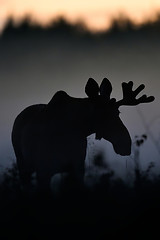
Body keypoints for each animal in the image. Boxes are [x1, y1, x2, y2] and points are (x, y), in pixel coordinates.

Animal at [11, 79, 154, 191]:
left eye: (118, 112)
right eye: (103, 114)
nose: (125, 143)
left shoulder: (78, 168)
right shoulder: (43, 170)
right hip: (23, 166)